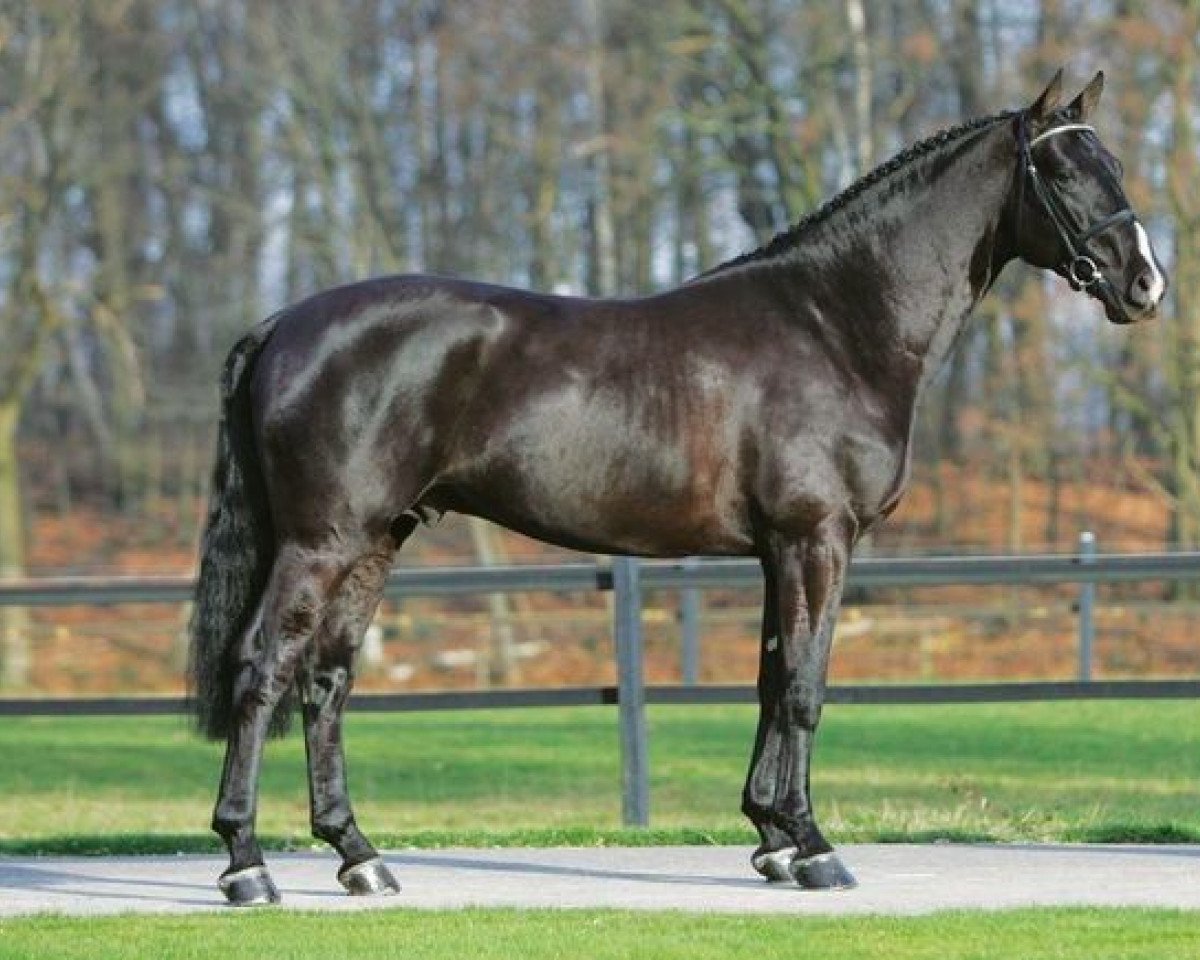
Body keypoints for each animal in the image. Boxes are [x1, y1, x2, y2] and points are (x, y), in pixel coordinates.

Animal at [188, 70, 1166, 904]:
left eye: (1112, 163)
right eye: (1063, 171)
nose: (1145, 284)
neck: (836, 323)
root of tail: (285, 323)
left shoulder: (779, 548)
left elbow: (772, 678)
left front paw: (771, 839)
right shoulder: (818, 538)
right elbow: (807, 686)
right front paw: (816, 849)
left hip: (377, 540)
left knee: (328, 681)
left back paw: (359, 857)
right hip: (321, 542)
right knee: (263, 668)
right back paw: (247, 866)